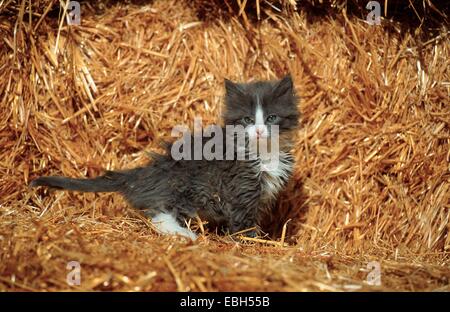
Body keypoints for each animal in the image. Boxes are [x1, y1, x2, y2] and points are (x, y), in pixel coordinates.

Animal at [30, 75, 298, 239]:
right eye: (247, 120)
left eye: (271, 118)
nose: (260, 131)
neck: (263, 152)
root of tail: (145, 173)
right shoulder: (242, 188)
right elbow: (243, 221)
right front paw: (252, 242)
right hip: (182, 189)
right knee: (159, 214)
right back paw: (185, 234)